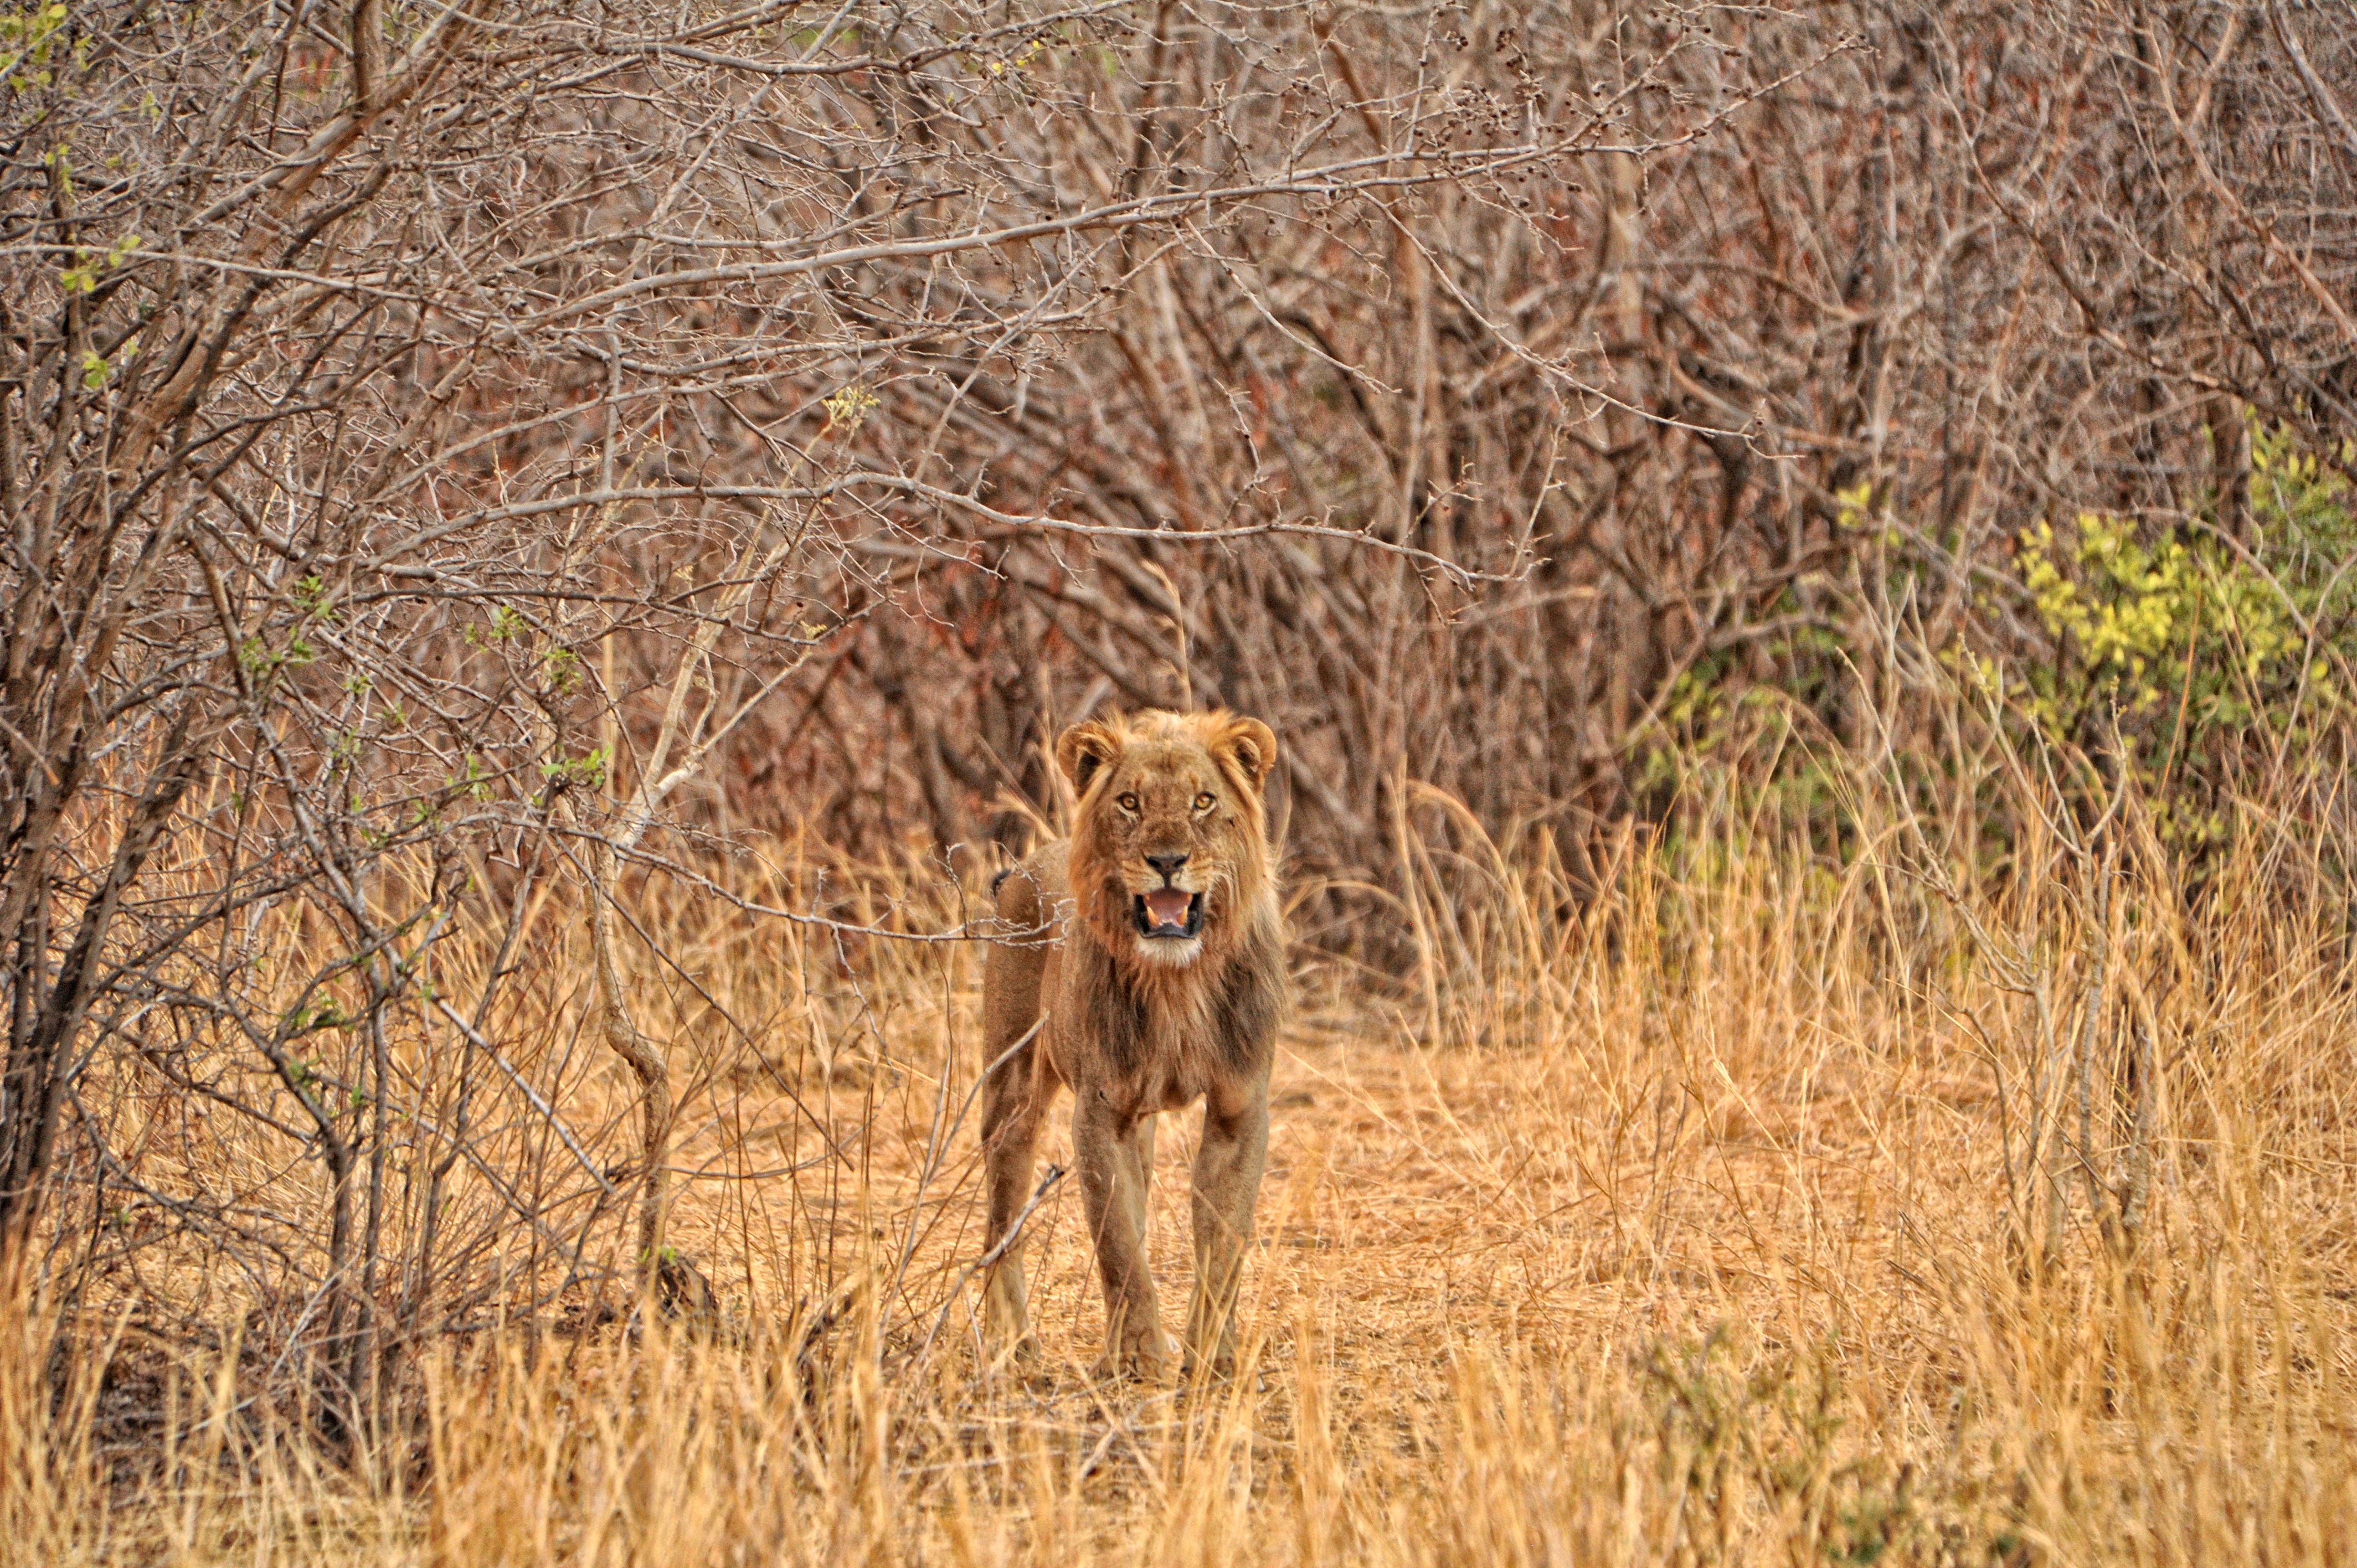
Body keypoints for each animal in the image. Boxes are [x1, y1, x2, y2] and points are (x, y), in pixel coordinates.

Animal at [978, 708, 1287, 1379]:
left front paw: (1210, 1358)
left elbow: (1222, 1242)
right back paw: (1012, 1342)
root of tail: (1023, 866)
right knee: (1001, 1210)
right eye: (1129, 802)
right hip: (1013, 1083)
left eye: (1203, 801)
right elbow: (1117, 1242)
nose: (1167, 860)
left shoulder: (1239, 1108)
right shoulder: (1101, 1112)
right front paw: (1140, 1357)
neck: (1177, 981)